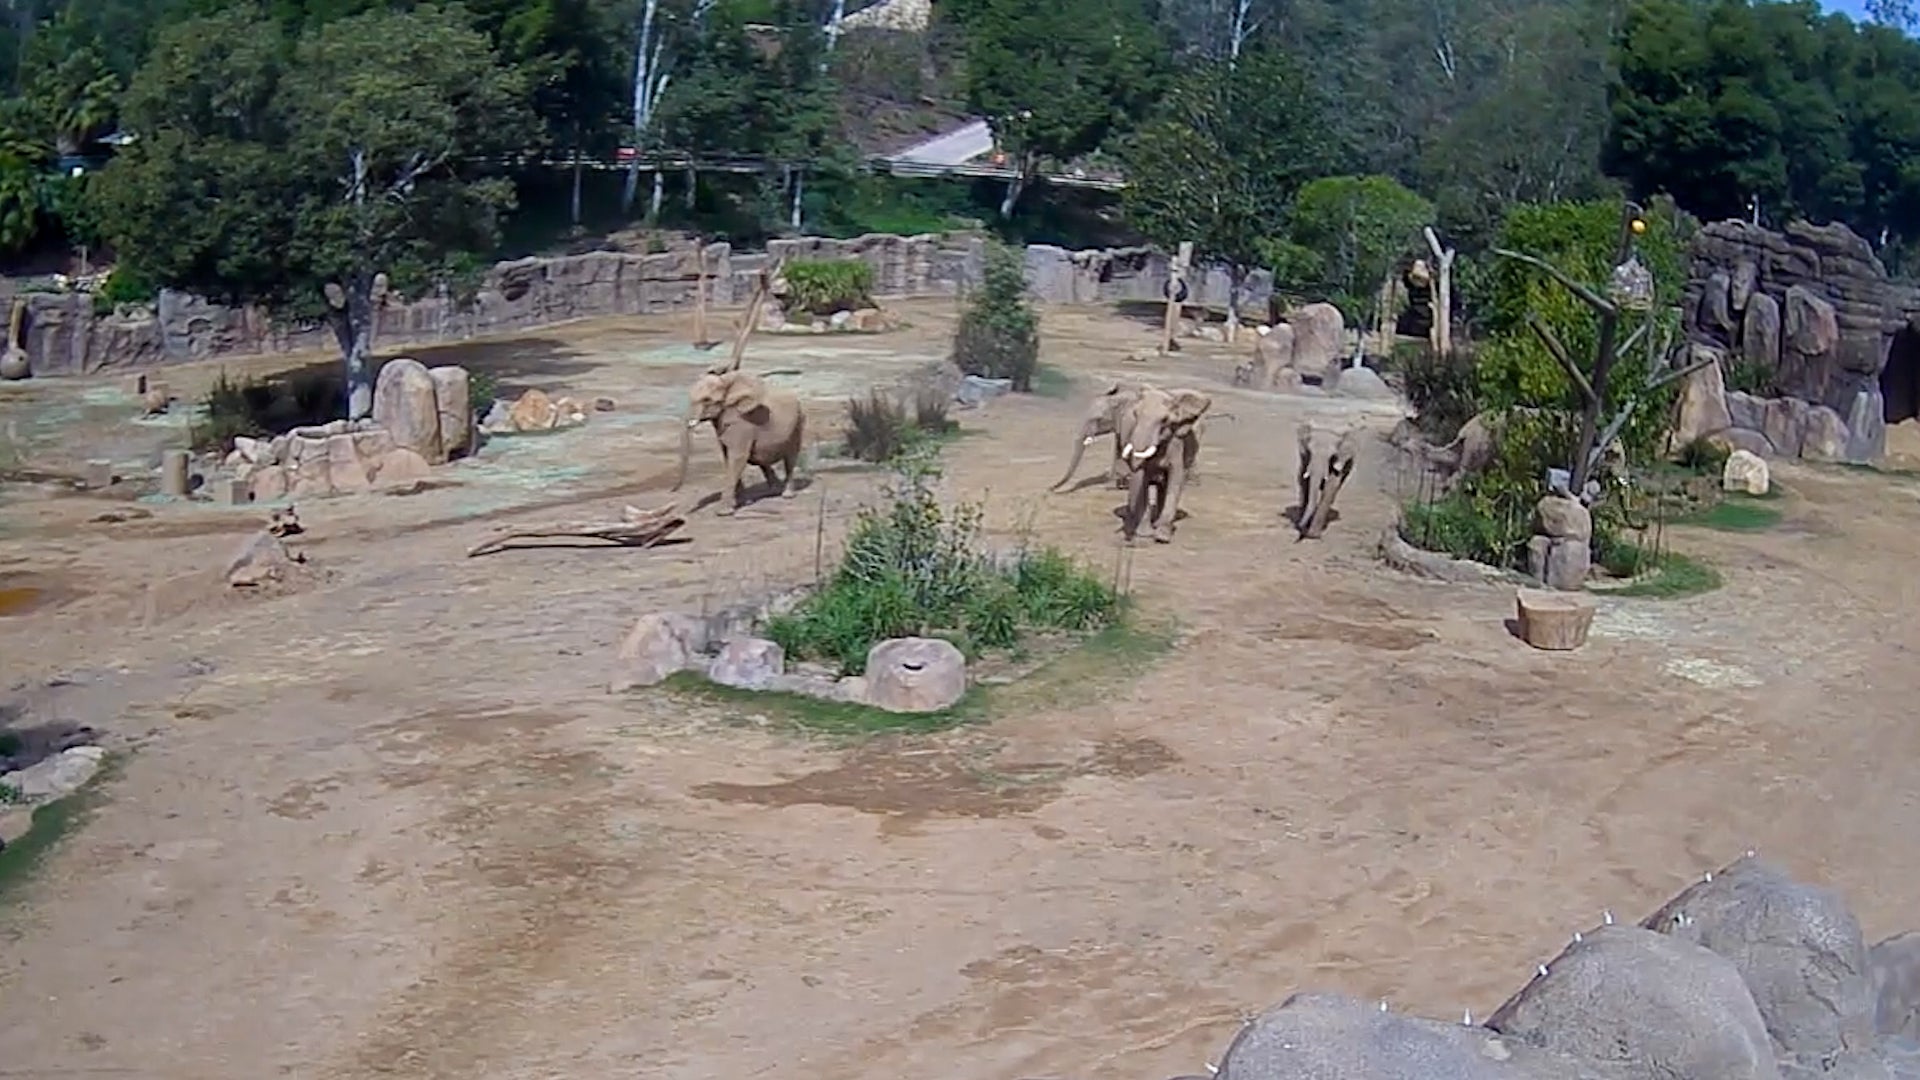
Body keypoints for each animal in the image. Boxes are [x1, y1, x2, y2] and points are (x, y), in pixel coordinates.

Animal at [672, 369, 806, 515]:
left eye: (707, 400)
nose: (673, 490)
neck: (726, 384)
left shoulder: (743, 423)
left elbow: (737, 457)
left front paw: (723, 512)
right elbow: (728, 458)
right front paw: (743, 502)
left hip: (798, 425)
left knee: (790, 459)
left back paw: (787, 495)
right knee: (762, 460)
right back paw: (774, 490)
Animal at [1114, 385, 1211, 543]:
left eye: (1165, 420)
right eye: (1135, 415)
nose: (1128, 539)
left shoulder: (1177, 442)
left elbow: (1175, 478)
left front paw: (1162, 537)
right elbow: (1143, 480)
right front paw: (1144, 534)